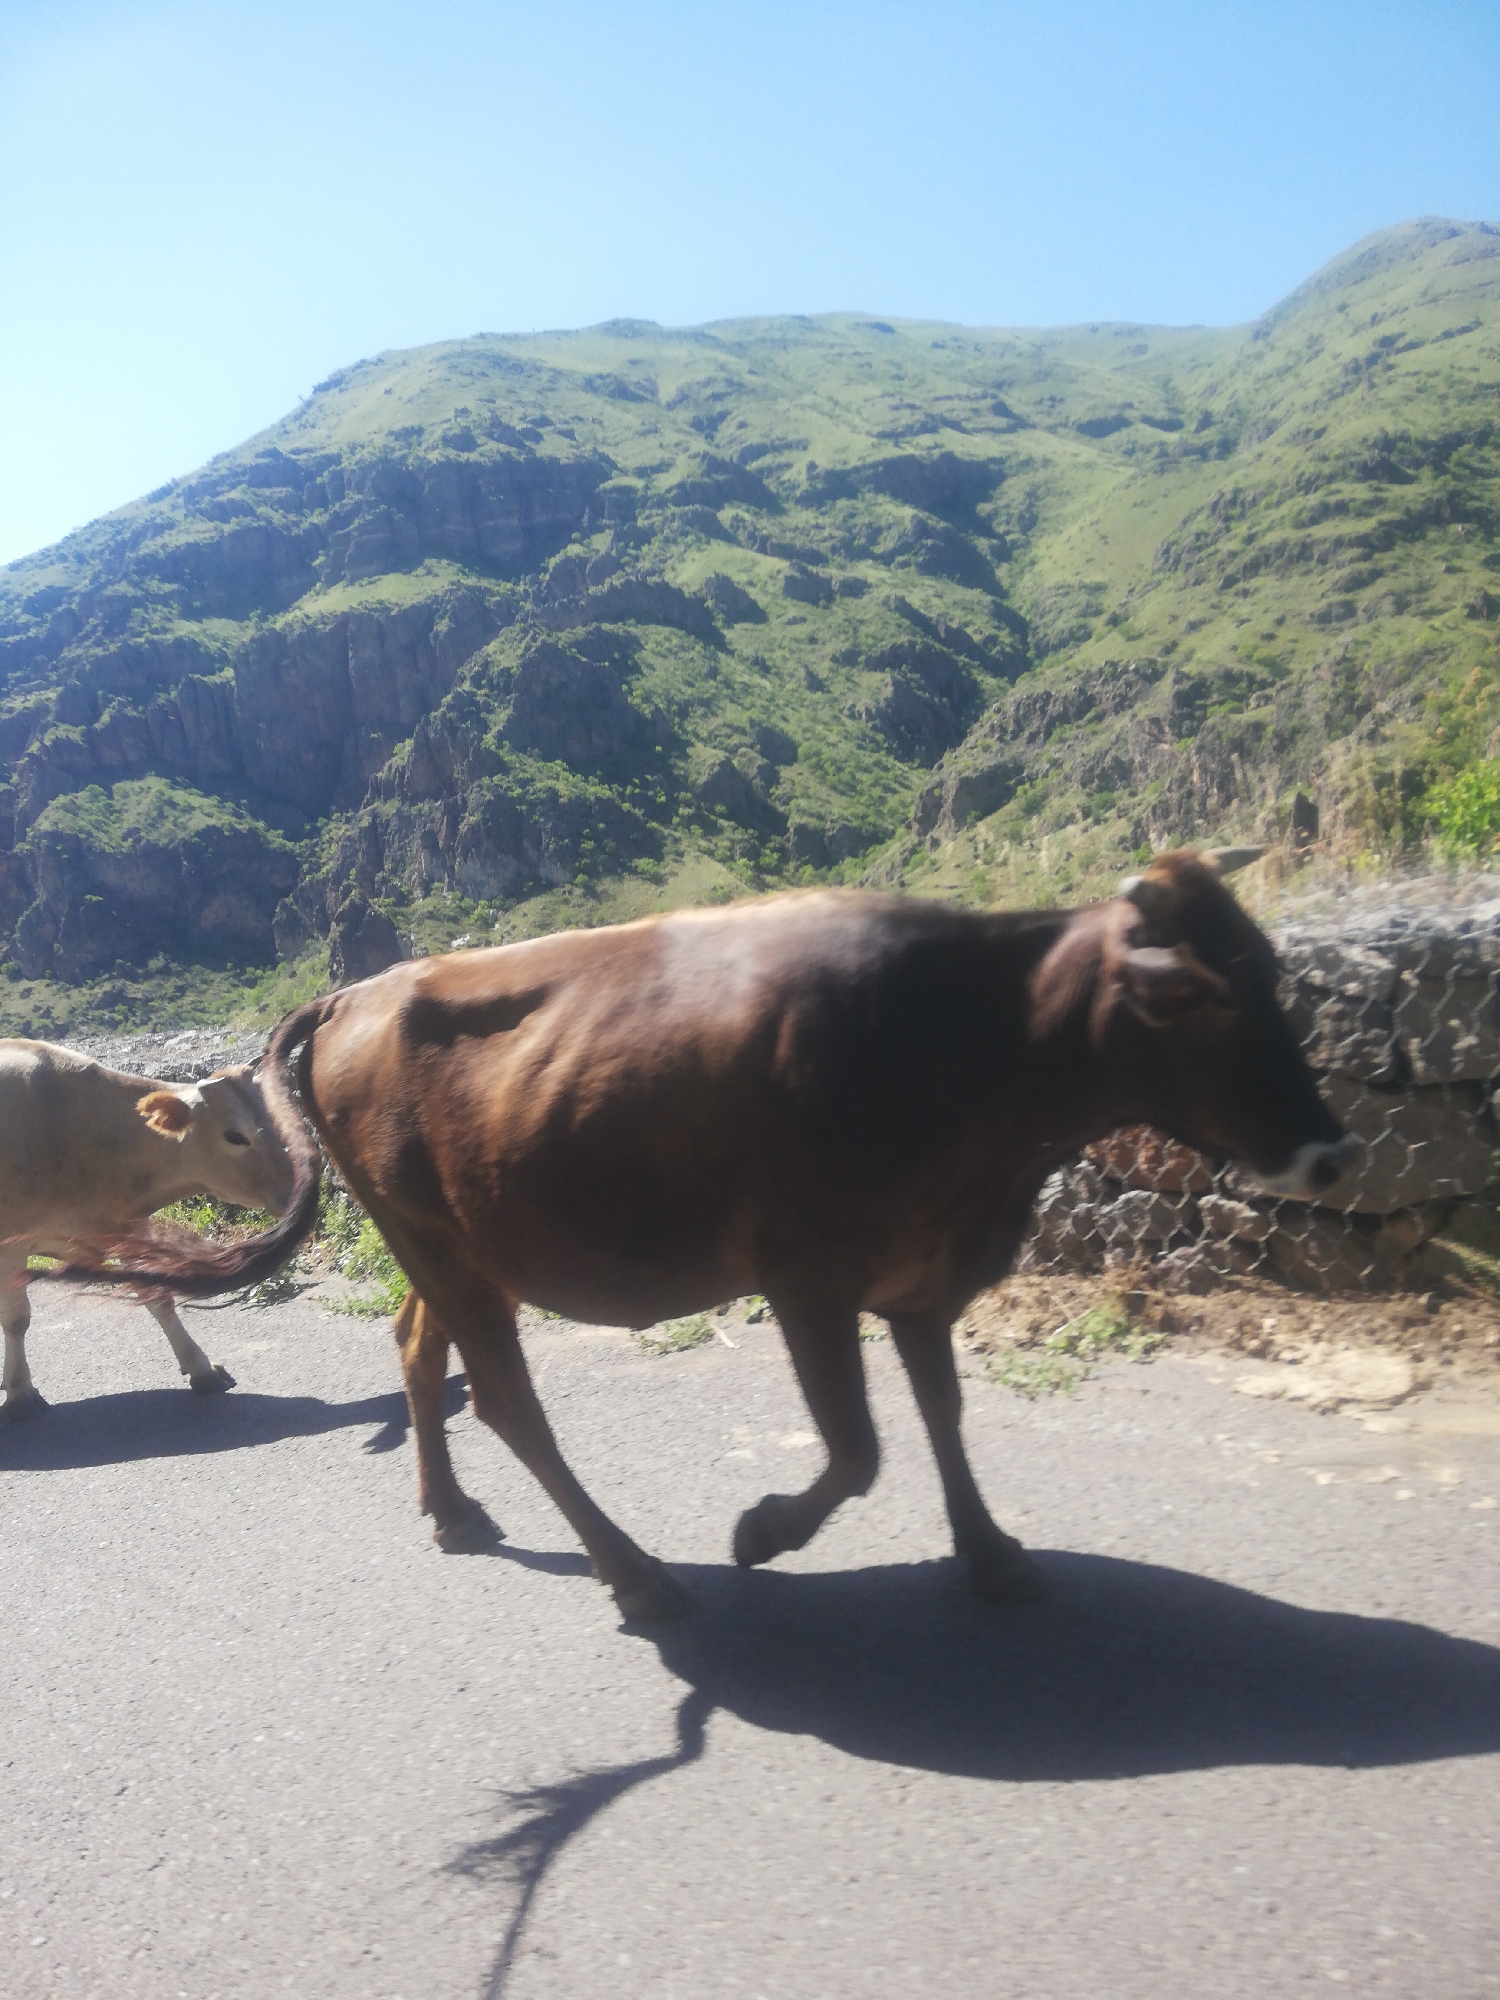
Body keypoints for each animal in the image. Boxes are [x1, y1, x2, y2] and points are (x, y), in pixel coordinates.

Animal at [1, 1041, 295, 1416]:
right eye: (234, 1136)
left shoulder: (128, 1227)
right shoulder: (10, 1245)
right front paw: (20, 1394)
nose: (296, 1188)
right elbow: (16, 1318)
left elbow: (159, 1297)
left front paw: (202, 1369)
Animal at [52, 852, 1355, 1617]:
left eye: (1271, 967)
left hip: (454, 1245)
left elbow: (942, 1414)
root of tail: (354, 991)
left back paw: (455, 1511)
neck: (968, 1039)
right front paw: (765, 1529)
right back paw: (635, 1573)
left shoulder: (922, 1273)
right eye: (1194, 994)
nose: (1332, 1151)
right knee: (507, 1396)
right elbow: (859, 1449)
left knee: (420, 1349)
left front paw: (990, 1555)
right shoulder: (807, 1276)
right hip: (444, 1243)